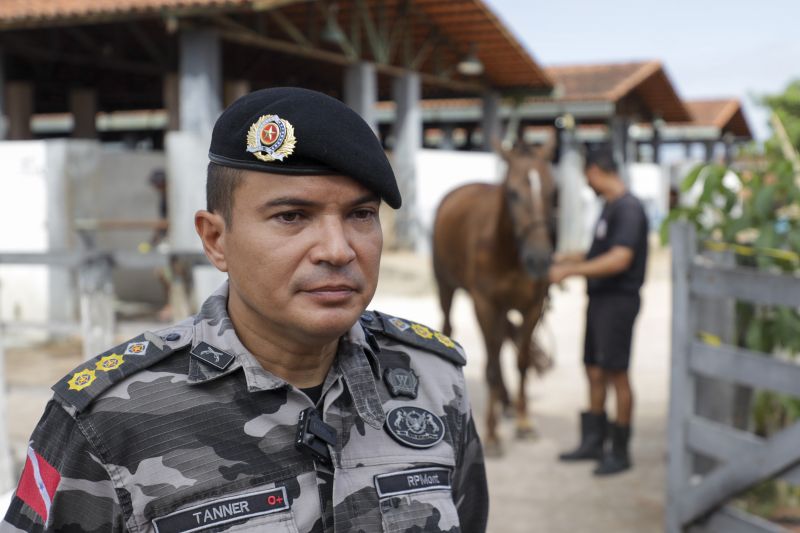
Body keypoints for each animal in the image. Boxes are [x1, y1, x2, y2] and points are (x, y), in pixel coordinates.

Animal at [432, 140, 556, 454]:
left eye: (552, 191)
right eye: (512, 193)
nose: (539, 259)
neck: (508, 252)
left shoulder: (532, 306)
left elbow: (522, 361)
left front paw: (524, 422)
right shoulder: (485, 304)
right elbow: (490, 366)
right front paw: (491, 434)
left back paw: (508, 403)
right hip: (446, 287)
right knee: (454, 329)